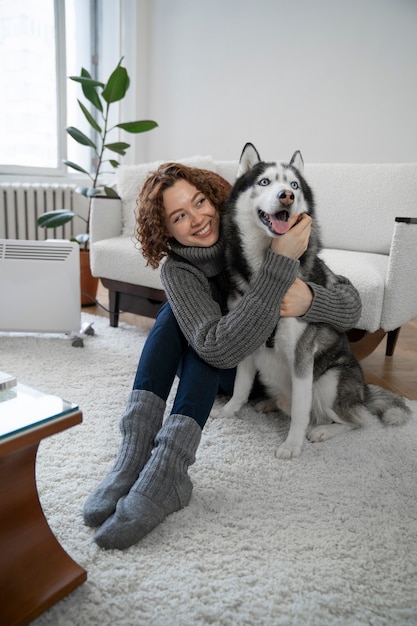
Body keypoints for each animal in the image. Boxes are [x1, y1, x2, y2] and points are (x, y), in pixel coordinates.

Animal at [221, 143, 410, 458]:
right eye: (265, 182)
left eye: (294, 185)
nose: (287, 195)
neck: (269, 270)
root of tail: (363, 392)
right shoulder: (246, 340)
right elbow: (240, 387)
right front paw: (228, 411)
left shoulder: (302, 357)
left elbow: (301, 412)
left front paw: (292, 445)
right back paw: (270, 403)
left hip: (328, 382)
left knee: (357, 420)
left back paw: (323, 430)